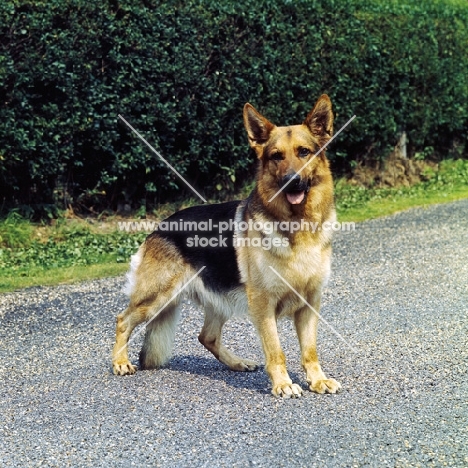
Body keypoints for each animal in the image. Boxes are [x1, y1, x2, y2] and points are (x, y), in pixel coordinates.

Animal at [112, 95, 340, 398]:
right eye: (276, 156)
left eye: (304, 152)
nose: (291, 181)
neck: (296, 226)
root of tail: (159, 228)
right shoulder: (263, 305)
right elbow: (276, 350)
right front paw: (282, 384)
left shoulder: (310, 303)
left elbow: (310, 350)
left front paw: (316, 380)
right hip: (156, 297)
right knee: (123, 320)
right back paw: (120, 362)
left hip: (217, 301)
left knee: (206, 336)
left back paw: (237, 363)